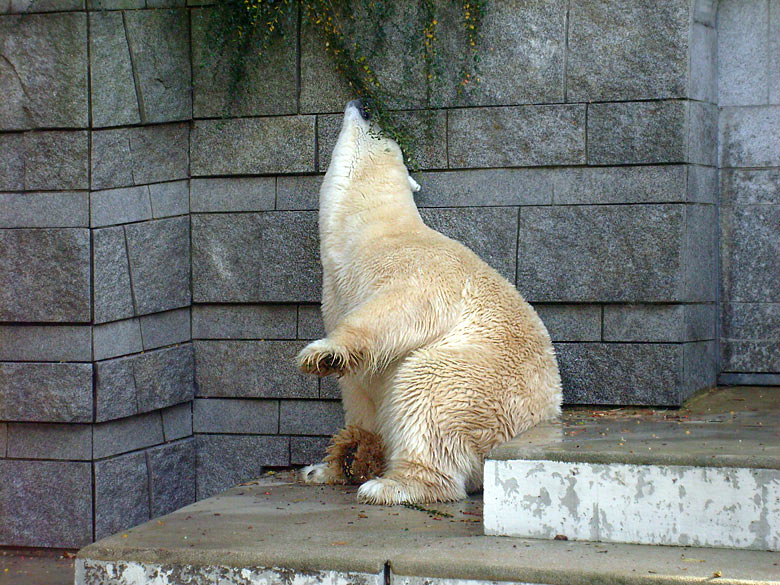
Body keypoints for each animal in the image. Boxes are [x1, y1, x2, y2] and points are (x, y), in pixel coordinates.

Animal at [294, 99, 560, 502]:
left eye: (379, 130)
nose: (365, 103)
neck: (367, 233)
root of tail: (538, 420)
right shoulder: (337, 292)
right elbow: (359, 394)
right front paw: (334, 463)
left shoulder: (417, 267)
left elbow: (402, 310)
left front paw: (322, 353)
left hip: (481, 382)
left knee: (426, 388)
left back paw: (393, 485)